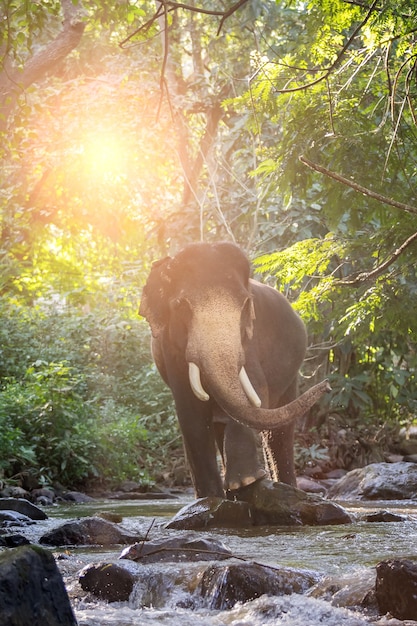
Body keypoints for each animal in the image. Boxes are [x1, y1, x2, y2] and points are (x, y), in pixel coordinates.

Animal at [139, 240, 328, 498]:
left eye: (245, 303)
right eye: (181, 306)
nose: (327, 385)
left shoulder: (249, 339)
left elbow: (256, 391)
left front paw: (247, 481)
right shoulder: (171, 348)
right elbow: (190, 412)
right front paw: (210, 497)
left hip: (291, 377)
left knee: (278, 432)